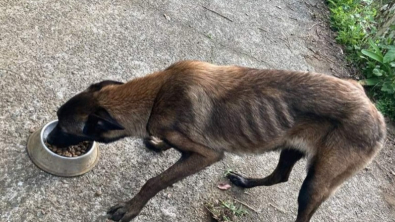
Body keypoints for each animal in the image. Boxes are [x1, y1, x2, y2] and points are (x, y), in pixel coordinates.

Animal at [46, 60, 386, 222]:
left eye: (64, 127)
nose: (48, 136)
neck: (157, 95)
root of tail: (374, 111)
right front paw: (159, 144)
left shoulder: (205, 155)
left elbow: (154, 182)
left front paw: (131, 209)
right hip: (290, 148)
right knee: (280, 175)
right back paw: (246, 182)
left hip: (316, 183)